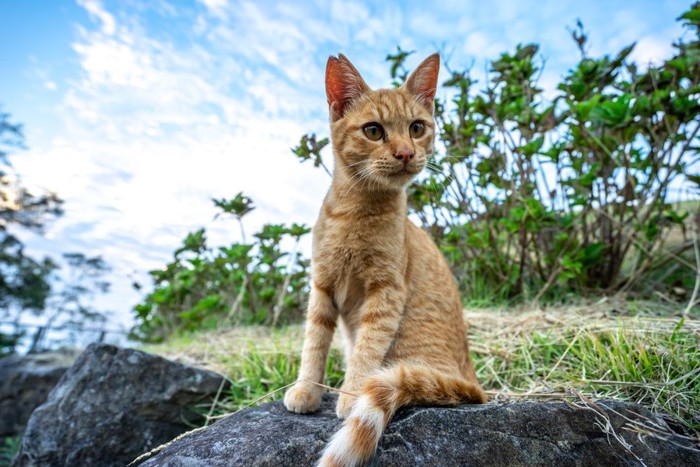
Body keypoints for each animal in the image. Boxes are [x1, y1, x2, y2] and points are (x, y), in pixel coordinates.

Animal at [282, 53, 484, 466]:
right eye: (373, 131)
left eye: (417, 128)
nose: (406, 152)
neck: (357, 210)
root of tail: (472, 382)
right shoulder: (322, 285)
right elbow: (314, 343)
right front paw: (307, 389)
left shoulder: (386, 291)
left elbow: (367, 349)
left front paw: (352, 393)